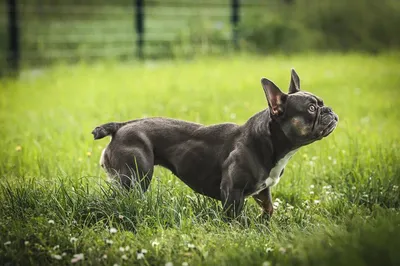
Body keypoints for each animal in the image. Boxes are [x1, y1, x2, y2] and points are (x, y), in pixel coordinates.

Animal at [91, 69, 338, 219]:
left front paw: (265, 222)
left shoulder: (263, 189)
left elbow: (269, 208)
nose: (329, 110)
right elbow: (236, 219)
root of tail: (120, 127)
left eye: (321, 103)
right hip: (136, 176)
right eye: (311, 108)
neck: (269, 142)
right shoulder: (232, 192)